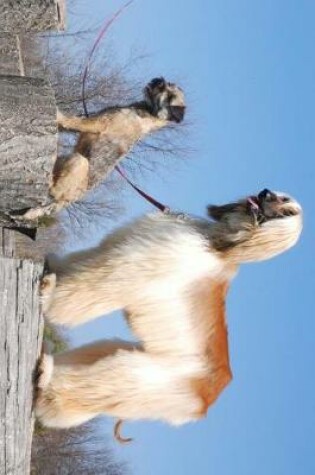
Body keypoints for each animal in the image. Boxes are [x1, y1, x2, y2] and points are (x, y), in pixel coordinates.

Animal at [35, 190, 302, 436]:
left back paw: (46, 383)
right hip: (127, 358)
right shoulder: (114, 248)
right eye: (279, 195)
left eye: (287, 209)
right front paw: (52, 266)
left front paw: (49, 297)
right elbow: (79, 262)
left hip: (147, 379)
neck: (215, 244)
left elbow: (87, 289)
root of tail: (204, 404)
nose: (264, 192)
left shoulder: (131, 268)